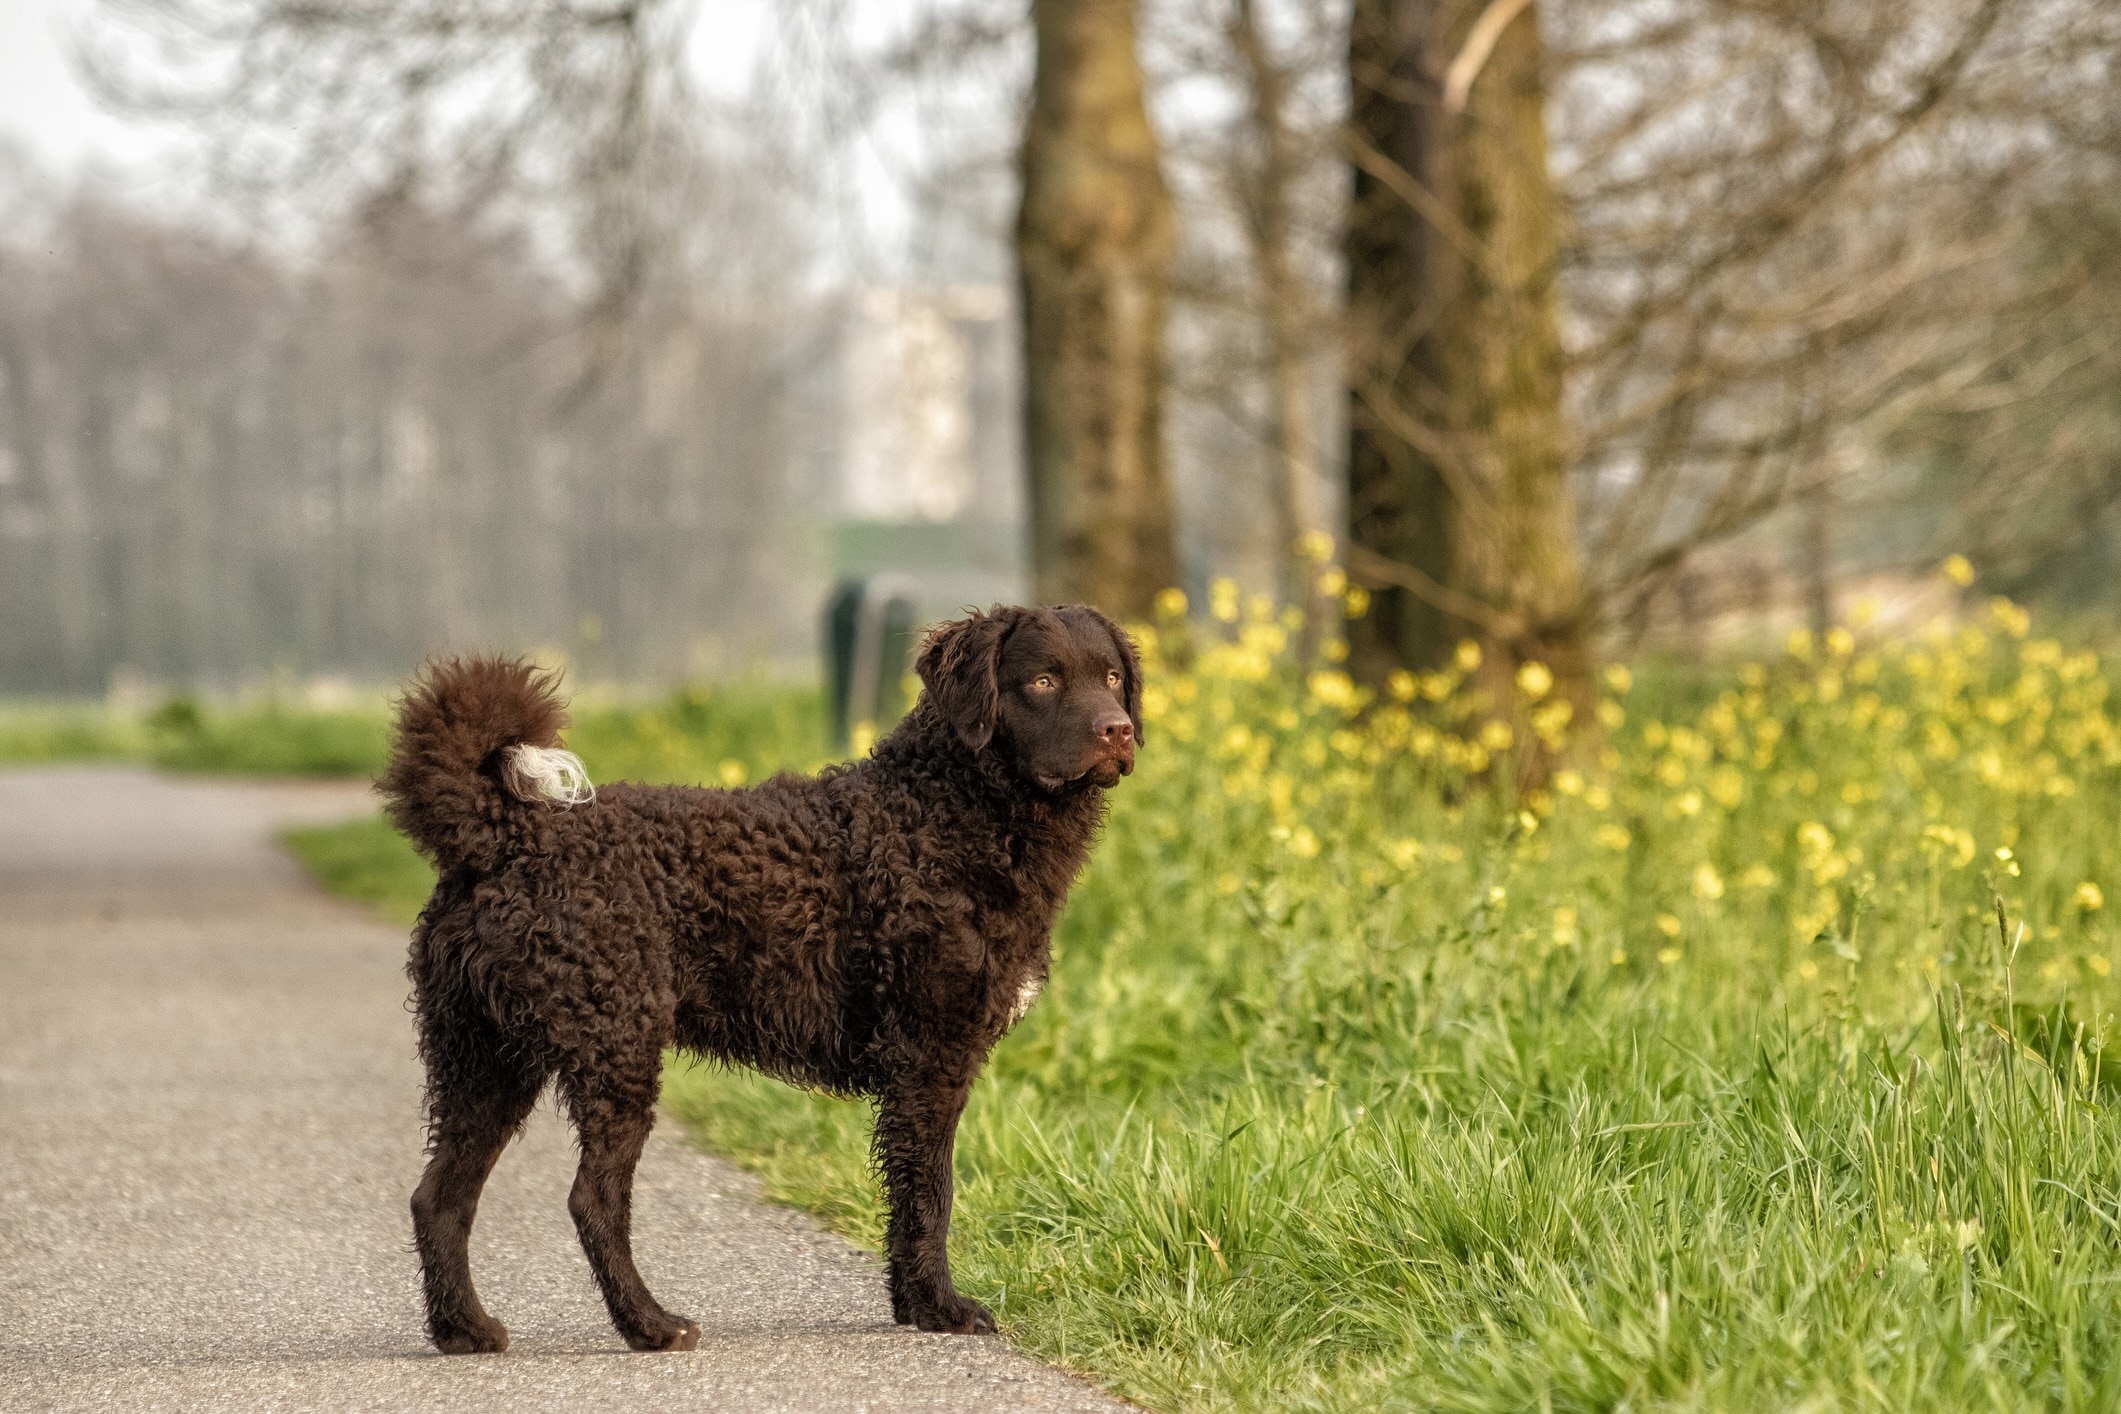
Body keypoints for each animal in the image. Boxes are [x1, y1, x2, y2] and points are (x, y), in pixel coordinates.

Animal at [381, 610, 1145, 1356]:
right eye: (1043, 680)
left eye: (1111, 676)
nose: (1118, 730)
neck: (942, 812)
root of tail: (504, 836)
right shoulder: (930, 1056)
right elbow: (931, 1193)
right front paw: (942, 1309)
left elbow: (908, 1198)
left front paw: (911, 1306)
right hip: (614, 1050)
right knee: (589, 1201)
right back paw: (650, 1325)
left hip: (485, 1061)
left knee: (439, 1197)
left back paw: (464, 1329)